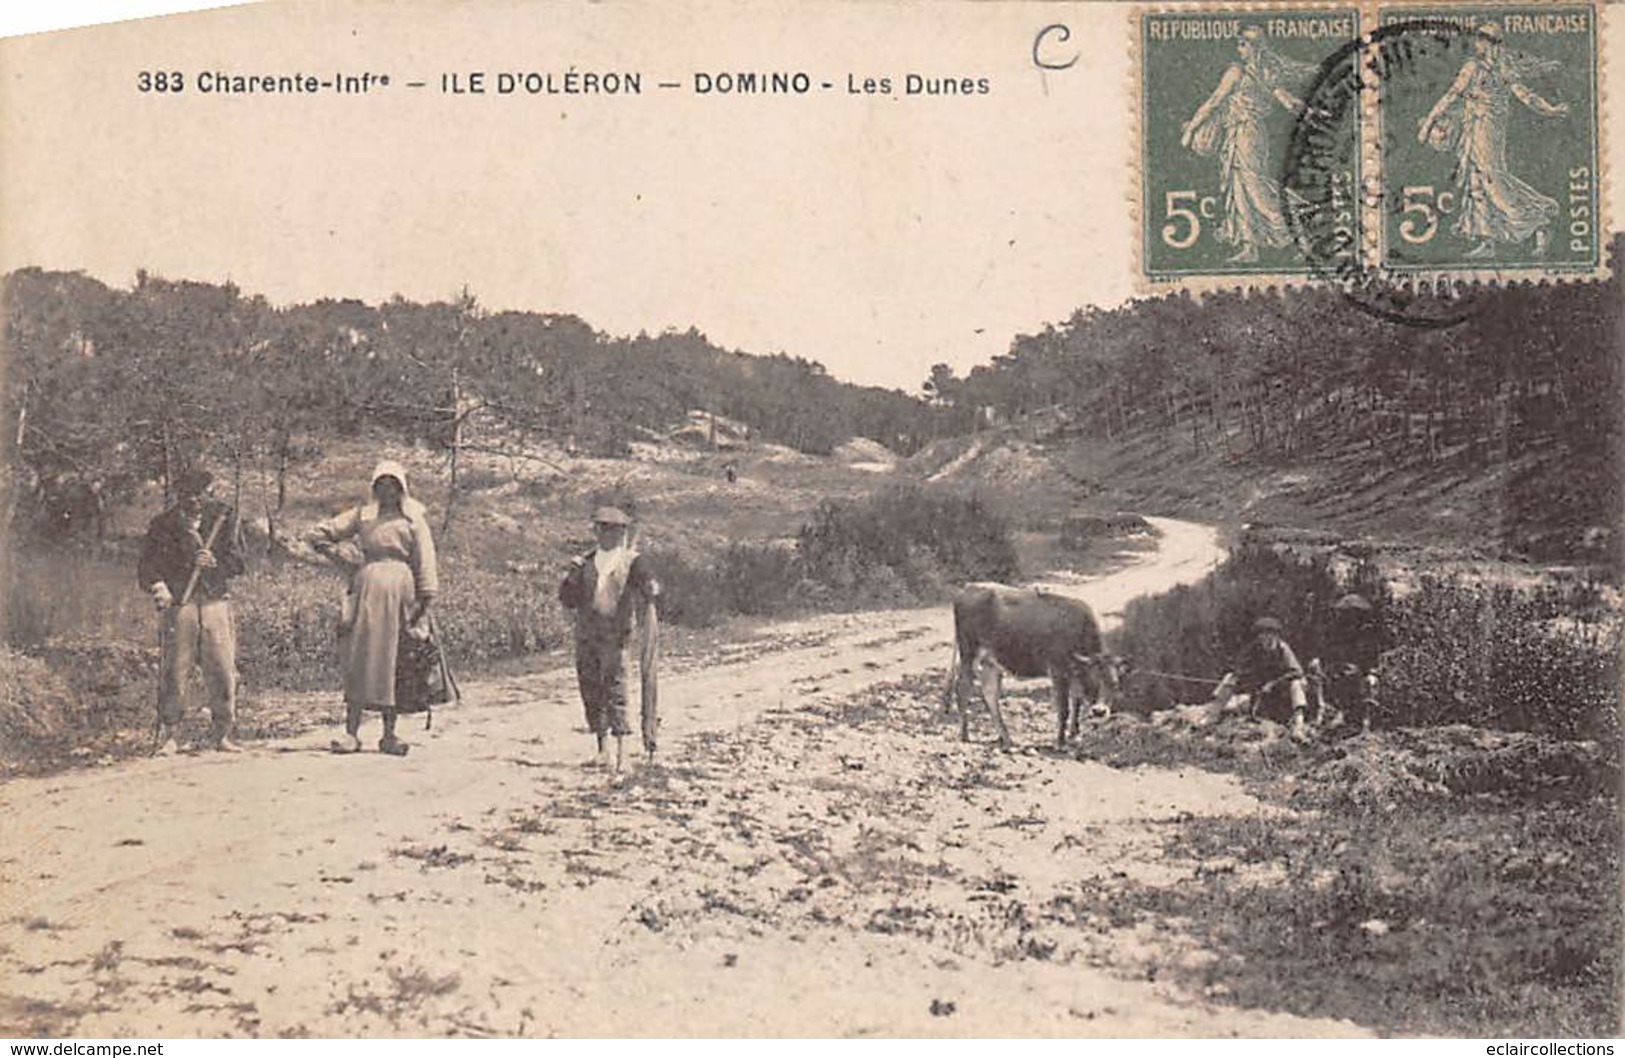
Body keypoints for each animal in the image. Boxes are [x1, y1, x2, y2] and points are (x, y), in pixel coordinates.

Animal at [942, 585, 1131, 747]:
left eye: (1114, 684)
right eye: (1092, 683)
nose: (1100, 711)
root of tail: (968, 588)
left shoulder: (1074, 673)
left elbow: (1076, 702)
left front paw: (1074, 734)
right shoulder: (1058, 670)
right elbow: (1064, 708)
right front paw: (1060, 742)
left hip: (991, 661)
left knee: (989, 693)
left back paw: (1006, 737)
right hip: (969, 653)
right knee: (963, 689)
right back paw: (965, 734)